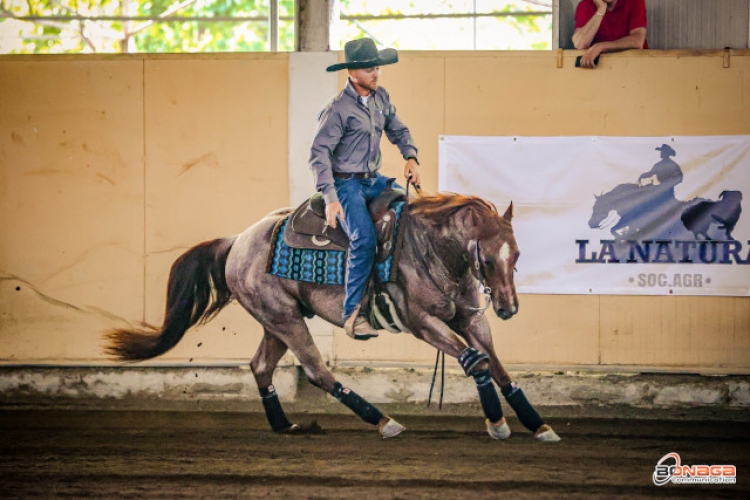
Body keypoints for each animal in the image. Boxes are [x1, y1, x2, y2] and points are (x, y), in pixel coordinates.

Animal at [108, 191, 560, 442]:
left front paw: (538, 425)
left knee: (260, 367)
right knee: (316, 371)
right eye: (487, 257)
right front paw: (497, 424)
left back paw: (286, 426)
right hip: (286, 321)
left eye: (517, 254)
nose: (508, 308)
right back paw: (383, 421)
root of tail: (237, 241)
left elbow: (498, 367)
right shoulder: (424, 324)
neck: (432, 250)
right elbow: (476, 362)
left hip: (276, 320)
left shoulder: (470, 320)